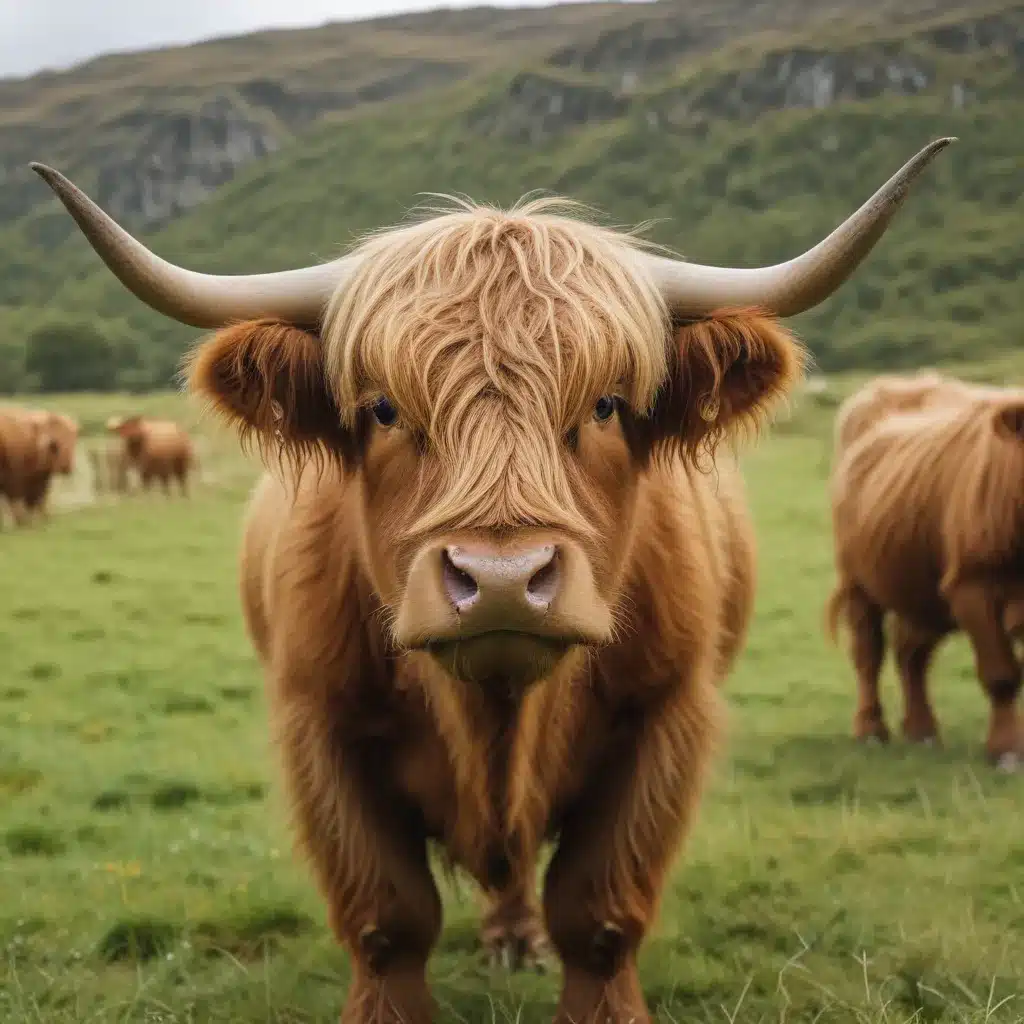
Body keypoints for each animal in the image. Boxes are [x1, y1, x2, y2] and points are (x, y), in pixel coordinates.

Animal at [36, 138, 954, 1024]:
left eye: (607, 404)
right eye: (383, 408)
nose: (505, 579)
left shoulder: (665, 716)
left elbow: (599, 912)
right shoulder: (321, 726)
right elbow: (387, 917)